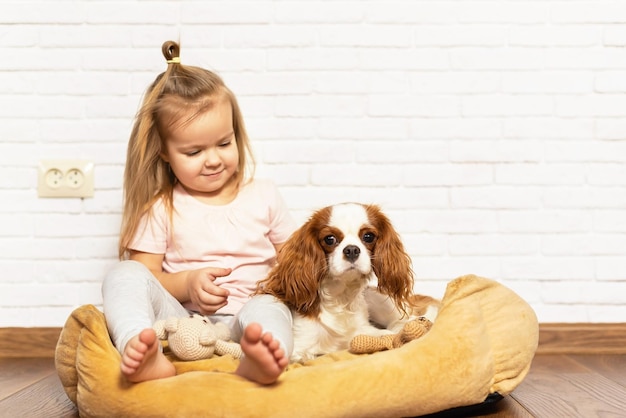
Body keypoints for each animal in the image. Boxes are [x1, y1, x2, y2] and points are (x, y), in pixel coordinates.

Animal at [258, 203, 438, 362]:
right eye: (329, 239)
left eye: (368, 236)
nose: (351, 250)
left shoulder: (364, 330)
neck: (341, 295)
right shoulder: (301, 342)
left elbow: (386, 334)